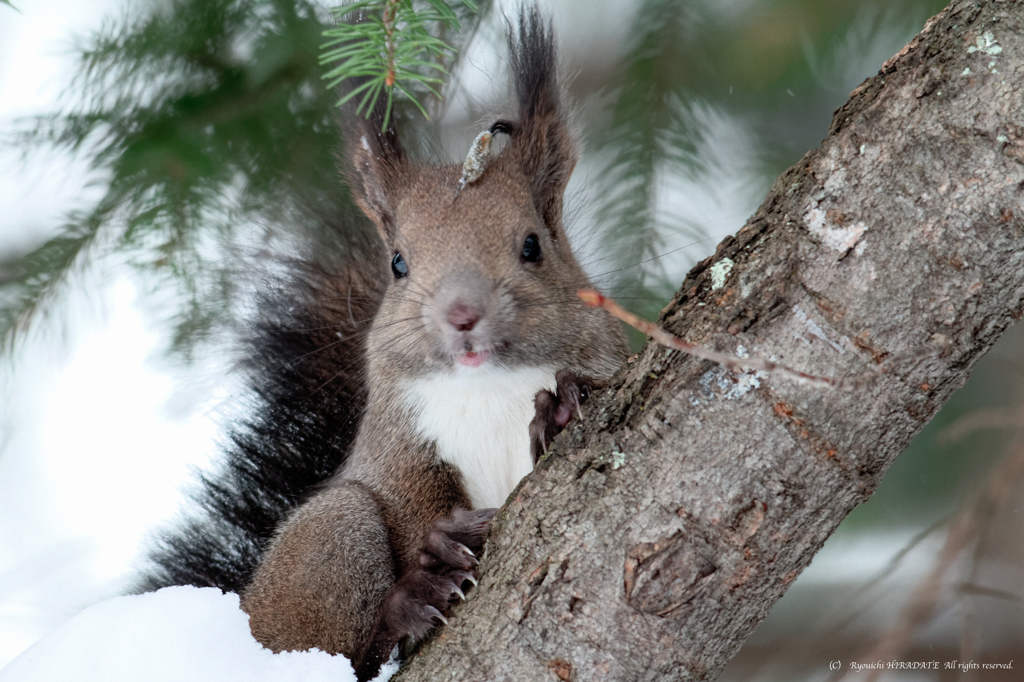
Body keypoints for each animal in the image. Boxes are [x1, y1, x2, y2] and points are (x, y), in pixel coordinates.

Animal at [140, 6, 626, 679]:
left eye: (533, 245)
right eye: (398, 263)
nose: (462, 315)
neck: (487, 385)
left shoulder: (607, 355)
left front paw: (560, 411)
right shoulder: (396, 437)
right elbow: (407, 497)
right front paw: (443, 544)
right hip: (328, 537)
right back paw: (406, 605)